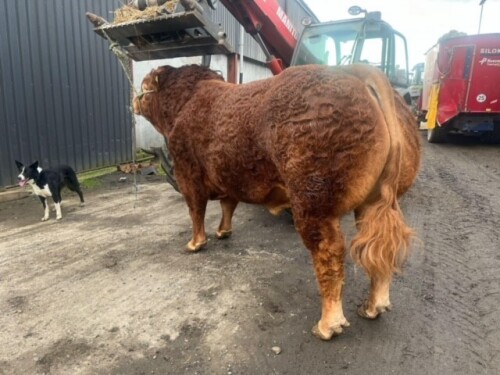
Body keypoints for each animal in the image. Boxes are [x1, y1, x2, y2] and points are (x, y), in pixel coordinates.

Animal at [134, 64, 422, 340]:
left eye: (144, 86)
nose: (133, 102)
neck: (185, 101)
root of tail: (357, 71)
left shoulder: (187, 172)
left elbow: (196, 210)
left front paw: (195, 243)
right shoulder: (228, 175)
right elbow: (228, 205)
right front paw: (223, 231)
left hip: (313, 201)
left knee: (330, 251)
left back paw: (328, 324)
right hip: (374, 202)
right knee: (379, 248)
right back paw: (374, 306)